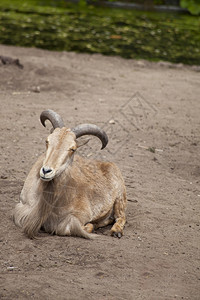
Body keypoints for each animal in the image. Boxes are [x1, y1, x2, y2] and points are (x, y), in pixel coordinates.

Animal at [13, 109, 126, 239]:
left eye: (73, 149)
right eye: (47, 141)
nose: (46, 171)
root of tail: (109, 164)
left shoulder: (80, 215)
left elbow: (65, 228)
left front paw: (90, 226)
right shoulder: (22, 207)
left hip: (120, 197)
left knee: (121, 217)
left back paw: (116, 231)